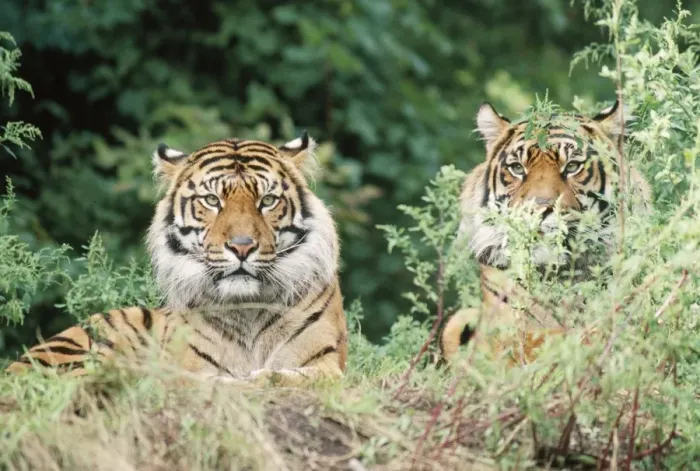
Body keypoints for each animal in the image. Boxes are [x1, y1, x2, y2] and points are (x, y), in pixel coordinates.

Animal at [6, 133, 348, 386]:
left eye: (267, 200)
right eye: (212, 200)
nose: (241, 247)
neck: (246, 308)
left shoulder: (327, 363)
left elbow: (292, 377)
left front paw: (260, 377)